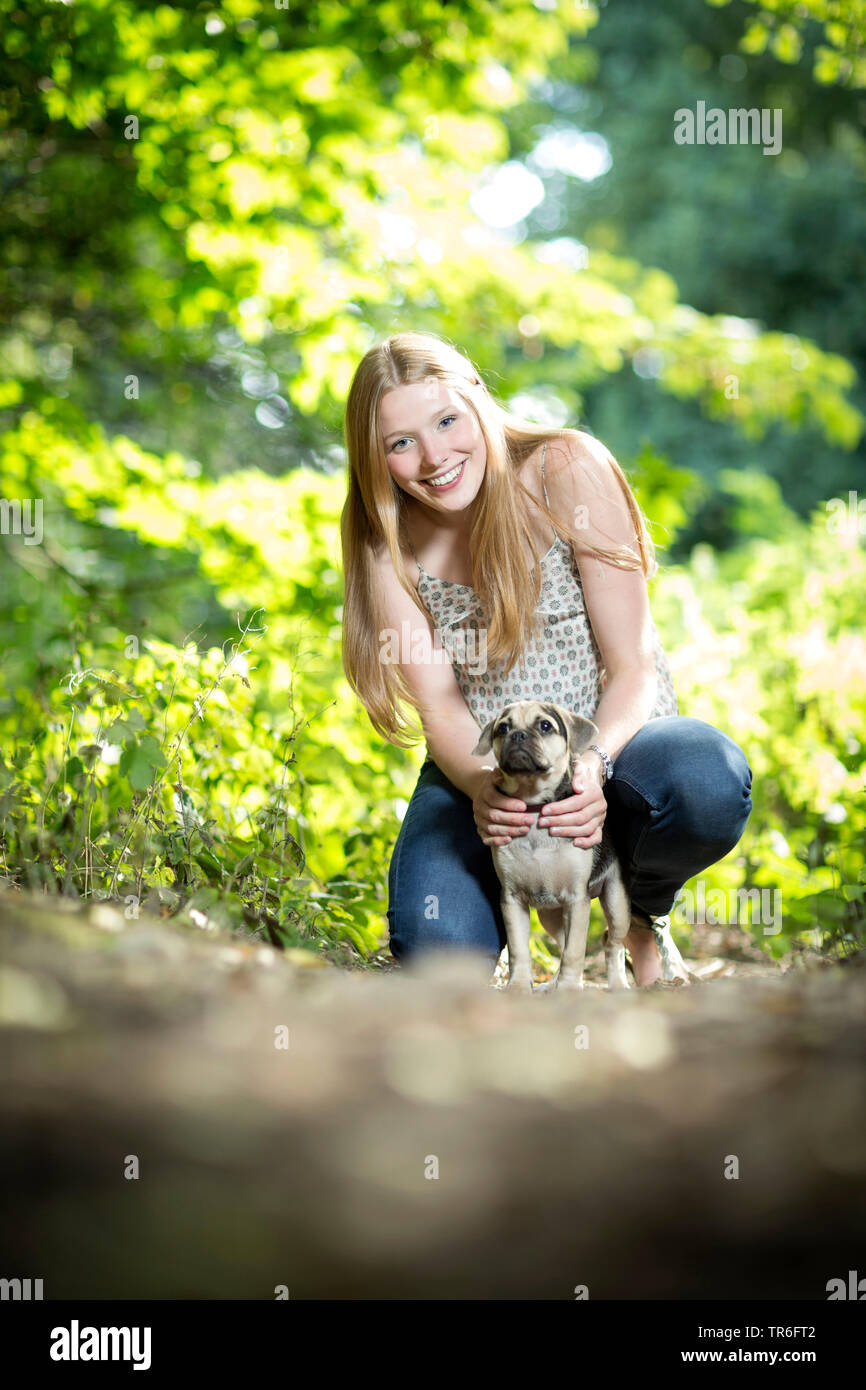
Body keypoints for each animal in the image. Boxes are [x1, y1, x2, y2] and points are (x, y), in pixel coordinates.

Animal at [469, 700, 633, 995]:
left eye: (545, 725)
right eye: (503, 728)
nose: (518, 736)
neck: (534, 805)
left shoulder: (577, 900)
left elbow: (575, 952)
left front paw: (569, 990)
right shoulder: (512, 900)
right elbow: (520, 950)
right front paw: (518, 986)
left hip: (616, 904)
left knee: (612, 944)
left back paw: (617, 985)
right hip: (552, 916)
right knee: (564, 942)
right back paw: (551, 985)